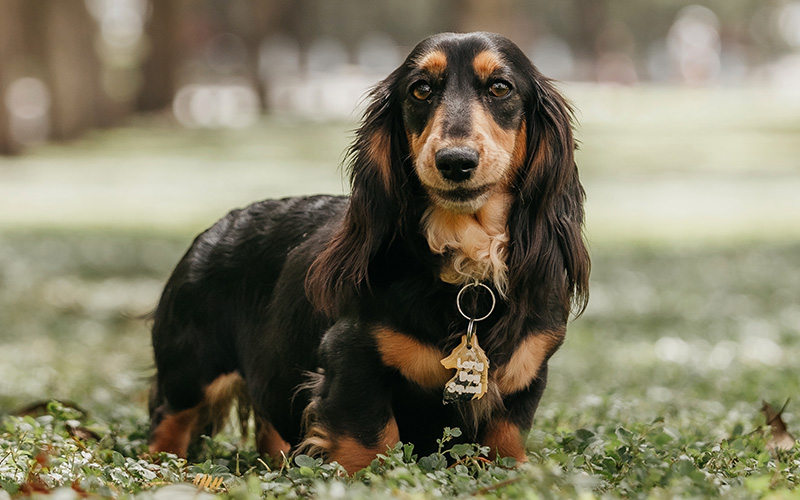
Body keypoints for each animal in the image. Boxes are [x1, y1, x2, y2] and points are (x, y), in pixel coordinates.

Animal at [148, 32, 588, 472]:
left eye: (500, 87)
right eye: (420, 90)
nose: (455, 162)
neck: (467, 266)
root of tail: (217, 226)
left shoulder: (527, 376)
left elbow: (505, 445)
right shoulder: (351, 359)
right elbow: (369, 440)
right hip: (190, 369)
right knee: (168, 421)